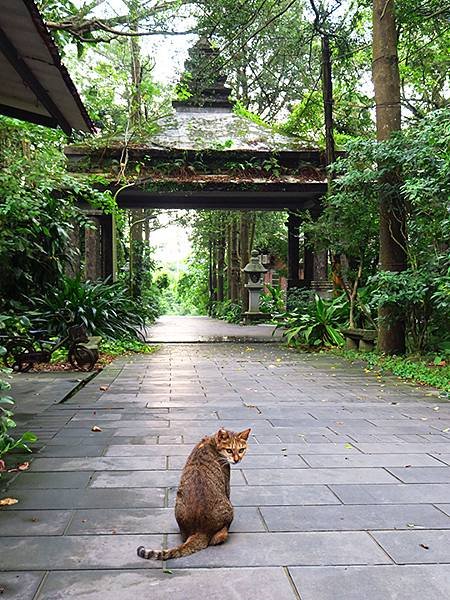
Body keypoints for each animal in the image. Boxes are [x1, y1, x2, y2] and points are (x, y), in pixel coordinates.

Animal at [135, 424, 251, 560]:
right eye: (229, 450)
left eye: (241, 450)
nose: (237, 460)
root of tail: (201, 531)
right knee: (218, 538)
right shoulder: (226, 481)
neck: (211, 442)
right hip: (229, 508)